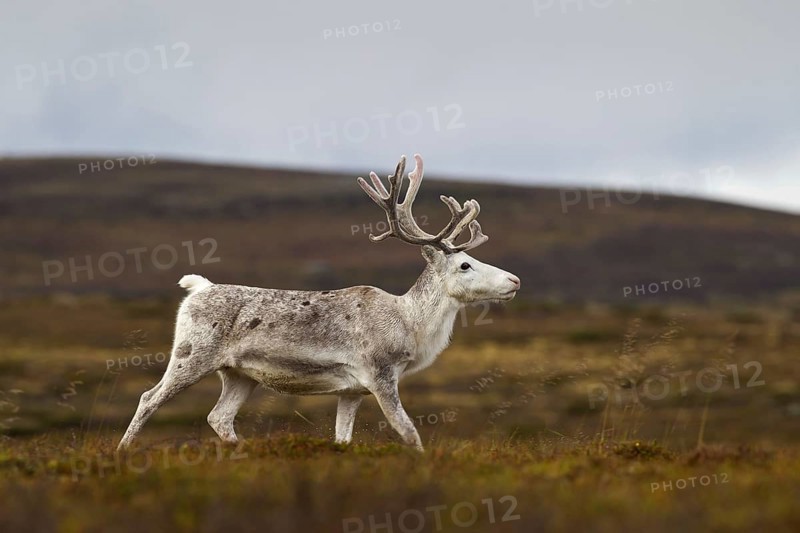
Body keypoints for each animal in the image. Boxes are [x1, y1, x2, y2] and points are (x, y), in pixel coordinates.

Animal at [117, 154, 520, 452]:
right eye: (465, 265)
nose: (515, 280)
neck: (411, 323)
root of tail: (197, 288)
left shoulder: (353, 390)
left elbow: (343, 438)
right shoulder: (380, 375)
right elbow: (409, 432)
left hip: (238, 374)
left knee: (219, 416)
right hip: (191, 355)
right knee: (149, 398)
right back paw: (123, 452)